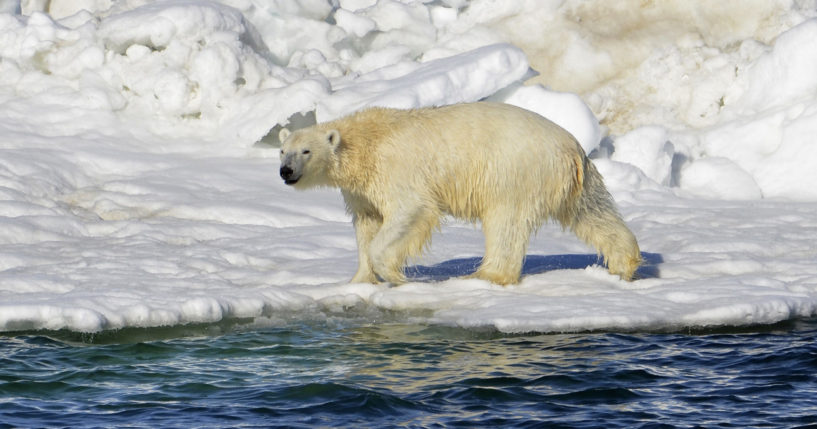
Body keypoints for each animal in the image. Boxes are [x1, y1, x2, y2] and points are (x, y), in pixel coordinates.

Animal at [280, 101, 644, 284]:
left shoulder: (396, 171)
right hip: (574, 181)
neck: (365, 143)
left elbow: (410, 211)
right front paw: (359, 280)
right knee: (593, 213)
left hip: (514, 171)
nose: (286, 171)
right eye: (283, 151)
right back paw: (623, 265)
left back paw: (485, 275)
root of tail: (572, 148)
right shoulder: (362, 190)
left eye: (306, 151)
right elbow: (367, 223)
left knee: (505, 223)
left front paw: (395, 275)